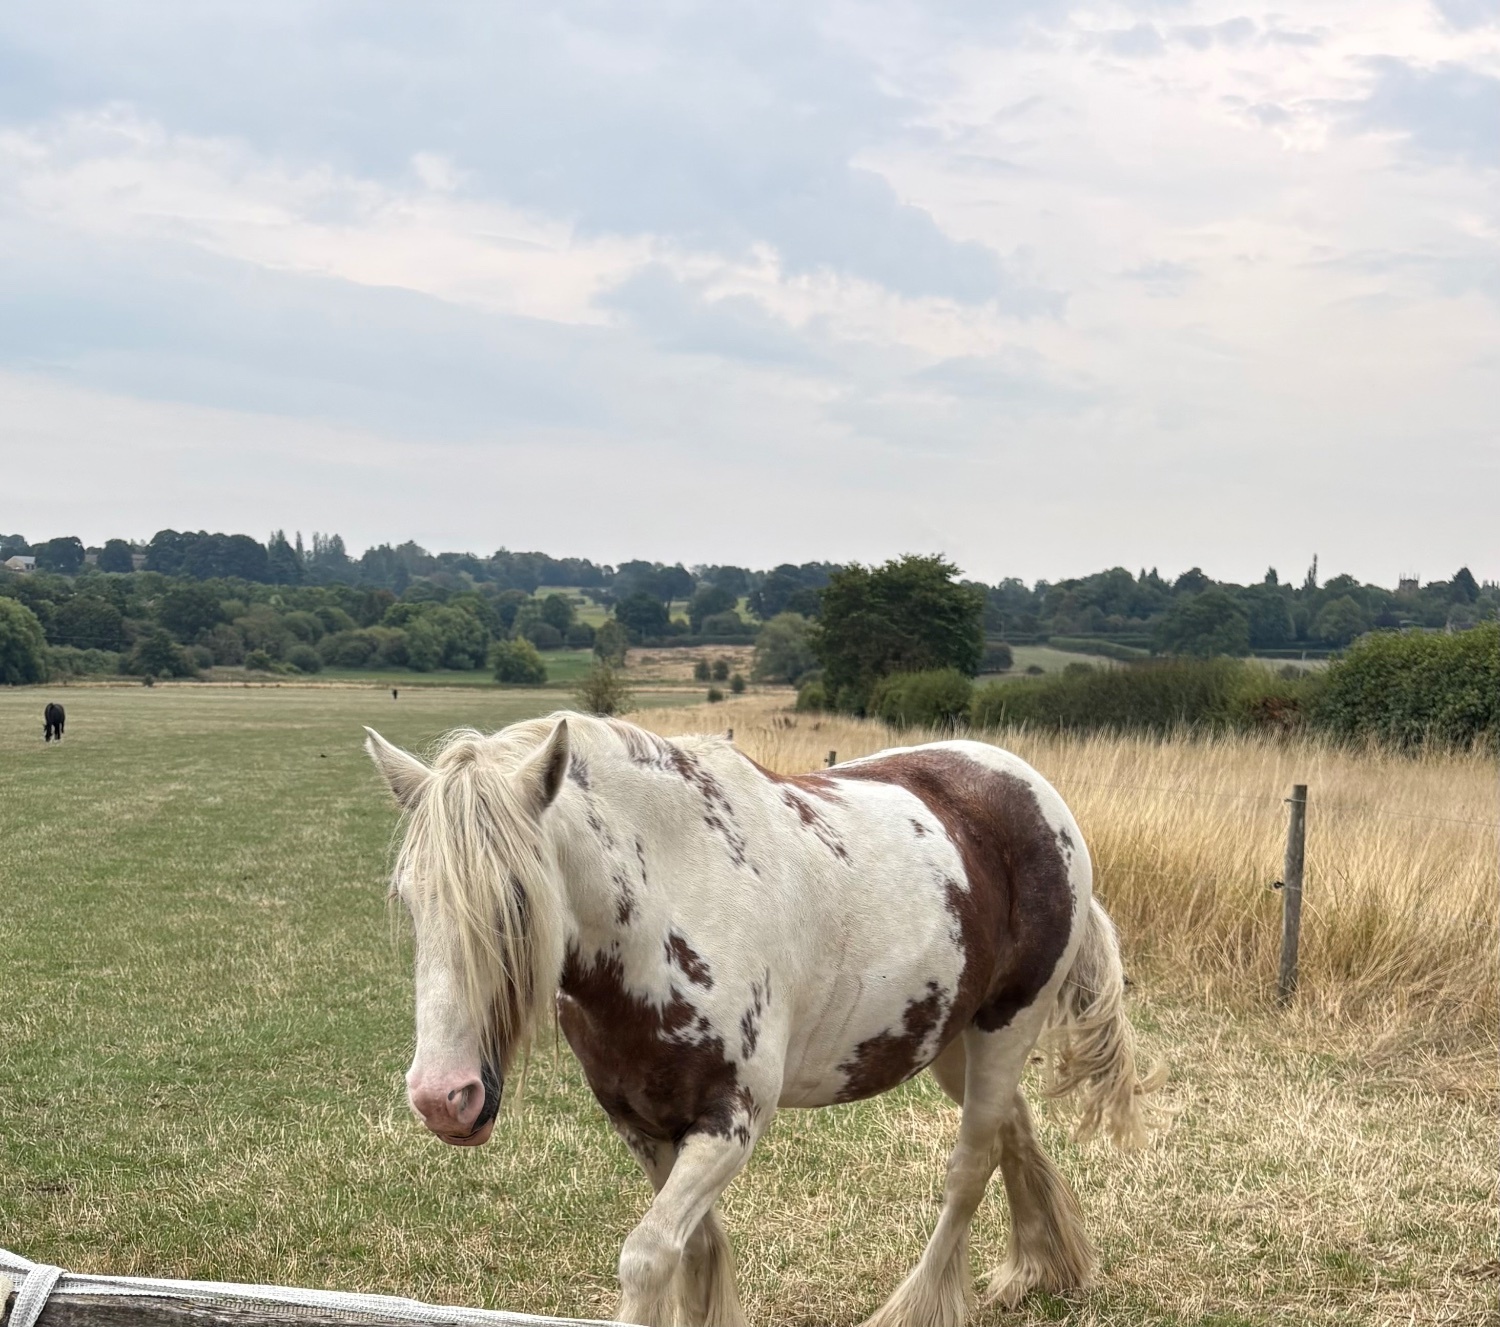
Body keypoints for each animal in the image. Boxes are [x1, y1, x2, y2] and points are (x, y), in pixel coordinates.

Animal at [364, 713, 1159, 1327]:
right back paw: (1040, 1269)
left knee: (969, 1167)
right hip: (951, 1039)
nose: (443, 1097)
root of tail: (1032, 789)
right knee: (1011, 1129)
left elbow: (648, 1256)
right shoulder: (643, 1123)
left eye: (517, 900)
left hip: (1006, 1025)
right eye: (407, 896)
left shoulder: (731, 1121)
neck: (670, 908)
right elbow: (693, 1252)